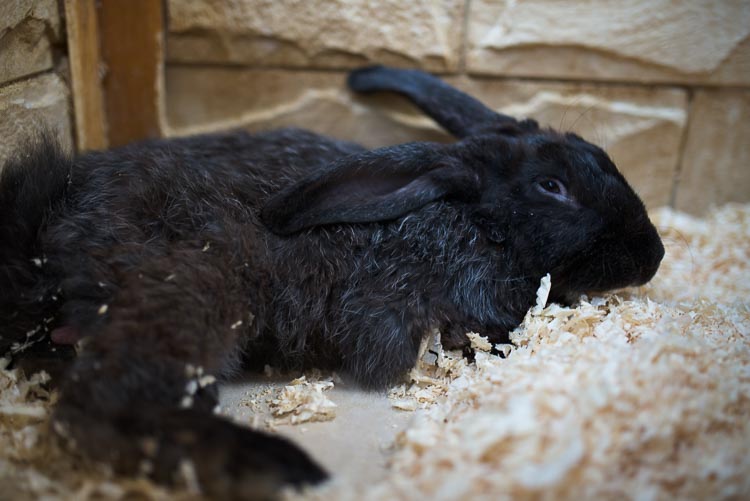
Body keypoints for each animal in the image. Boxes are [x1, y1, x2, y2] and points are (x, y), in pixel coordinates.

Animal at [0, 65, 664, 498]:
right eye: (552, 186)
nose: (654, 255)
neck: (478, 222)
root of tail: (45, 234)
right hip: (194, 288)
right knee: (101, 402)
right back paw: (272, 467)